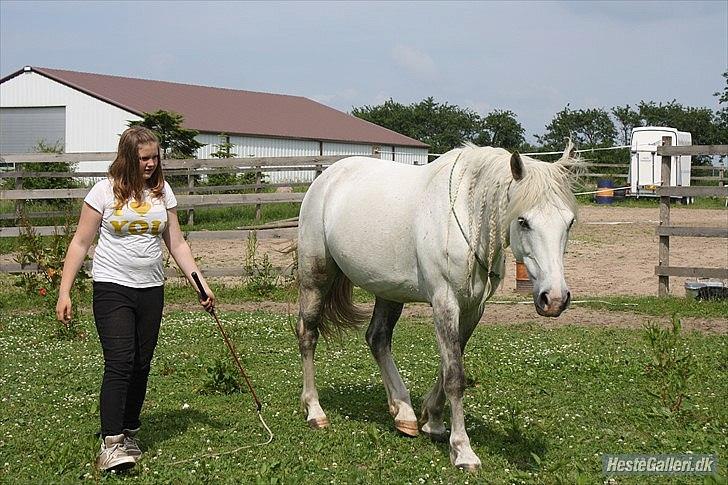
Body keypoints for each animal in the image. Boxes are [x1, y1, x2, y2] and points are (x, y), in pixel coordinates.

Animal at [294, 142, 580, 466]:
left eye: (569, 222)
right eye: (523, 221)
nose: (554, 298)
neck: (468, 217)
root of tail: (326, 178)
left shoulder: (472, 309)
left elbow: (447, 367)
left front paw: (433, 421)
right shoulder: (445, 303)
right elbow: (455, 375)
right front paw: (462, 449)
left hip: (389, 290)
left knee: (377, 339)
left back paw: (403, 412)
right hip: (315, 277)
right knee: (308, 334)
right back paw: (315, 411)